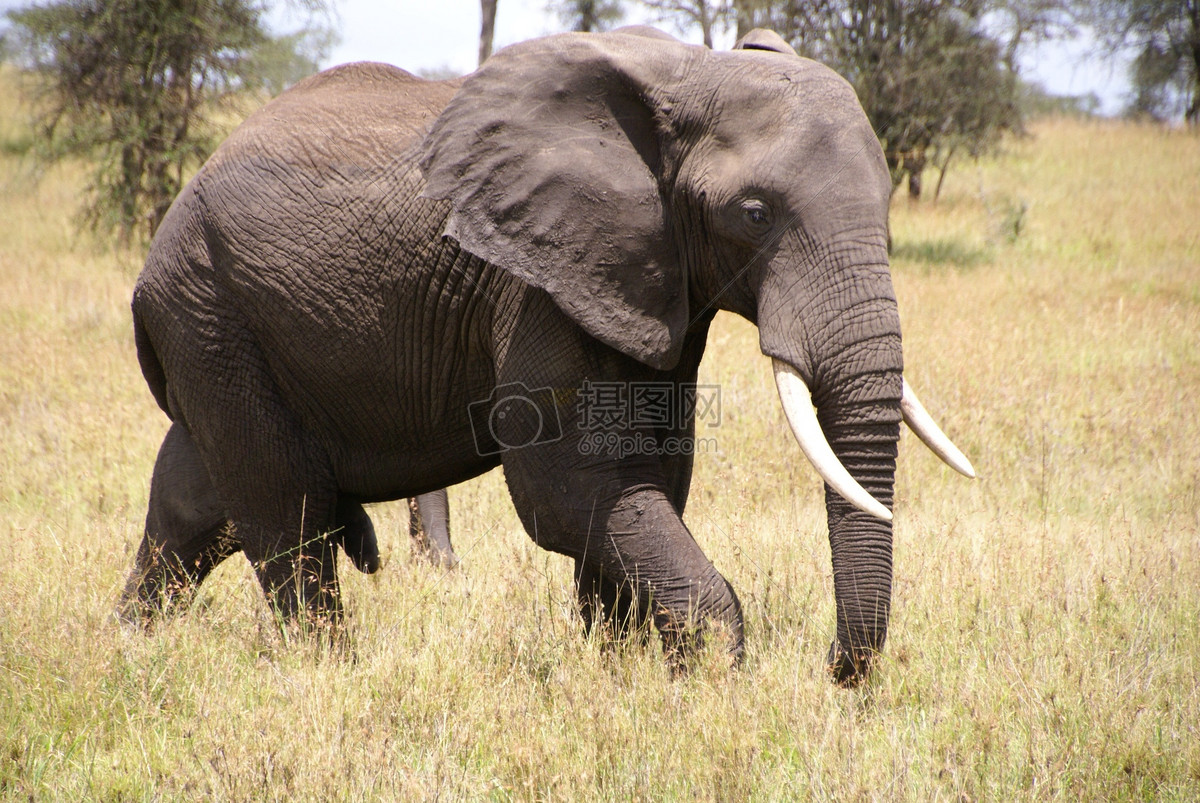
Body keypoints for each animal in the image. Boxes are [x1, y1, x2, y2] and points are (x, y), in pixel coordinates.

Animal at [117, 26, 969, 681]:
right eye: (754, 213)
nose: (839, 672)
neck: (691, 69)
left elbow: (652, 475)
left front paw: (620, 666)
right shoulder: (535, 279)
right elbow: (572, 487)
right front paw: (700, 677)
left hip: (217, 326)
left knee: (195, 505)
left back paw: (127, 644)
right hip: (209, 308)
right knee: (285, 511)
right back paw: (322, 670)